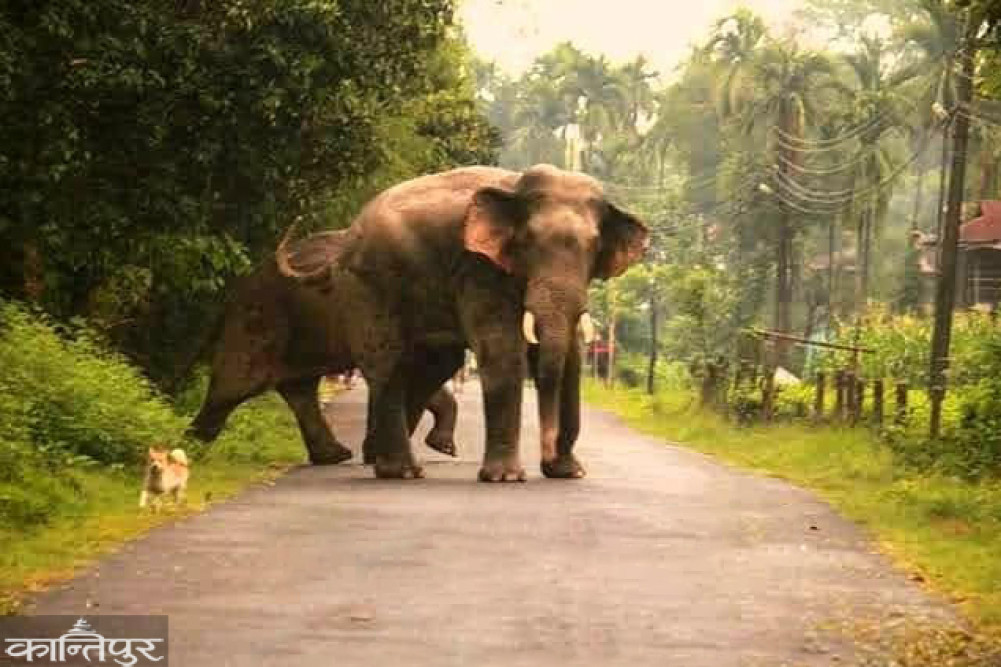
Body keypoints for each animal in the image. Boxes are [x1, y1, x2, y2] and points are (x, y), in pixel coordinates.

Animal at [187, 229, 461, 464]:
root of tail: (232, 295)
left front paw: (442, 448)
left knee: (299, 388)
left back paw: (334, 456)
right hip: (260, 319)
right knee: (237, 384)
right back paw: (193, 450)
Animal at [276, 164, 648, 481]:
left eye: (593, 245)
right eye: (527, 241)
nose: (547, 455)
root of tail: (342, 243)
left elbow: (571, 361)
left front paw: (570, 473)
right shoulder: (477, 268)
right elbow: (501, 351)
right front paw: (506, 478)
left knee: (429, 365)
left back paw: (385, 462)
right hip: (367, 285)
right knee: (387, 364)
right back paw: (400, 471)